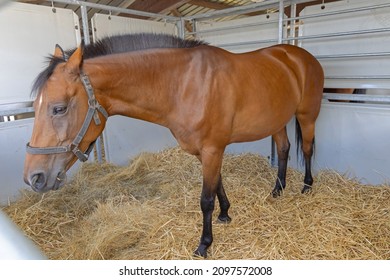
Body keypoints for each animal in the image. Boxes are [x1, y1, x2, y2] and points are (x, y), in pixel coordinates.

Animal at [22, 33, 324, 258]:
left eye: (59, 108)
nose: (34, 178)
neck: (185, 84)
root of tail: (300, 56)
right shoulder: (208, 151)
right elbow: (217, 185)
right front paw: (226, 214)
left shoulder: (213, 149)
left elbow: (205, 199)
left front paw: (204, 245)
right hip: (278, 121)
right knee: (284, 149)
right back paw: (278, 190)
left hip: (306, 116)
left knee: (307, 149)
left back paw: (307, 187)